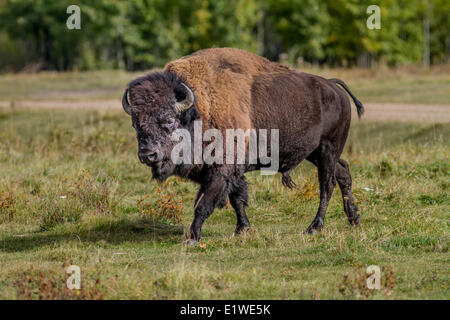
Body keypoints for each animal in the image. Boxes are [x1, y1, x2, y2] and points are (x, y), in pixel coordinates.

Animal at [121, 47, 364, 242]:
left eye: (169, 120)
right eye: (135, 123)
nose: (147, 153)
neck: (199, 110)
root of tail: (334, 87)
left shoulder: (221, 170)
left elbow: (204, 204)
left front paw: (192, 238)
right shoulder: (233, 170)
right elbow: (237, 198)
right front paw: (242, 229)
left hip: (327, 149)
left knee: (327, 184)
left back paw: (314, 227)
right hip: (314, 152)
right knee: (343, 172)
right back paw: (354, 217)